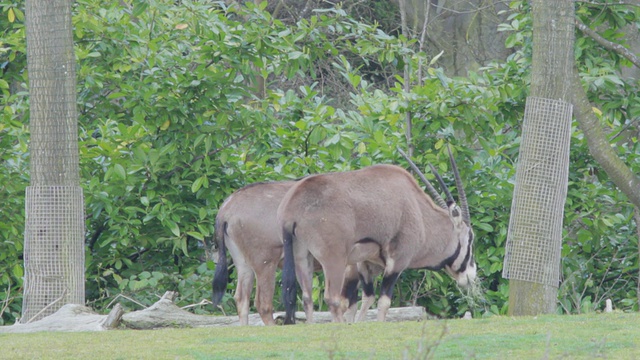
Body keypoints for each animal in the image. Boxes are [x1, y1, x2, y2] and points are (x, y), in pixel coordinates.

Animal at [278, 147, 478, 324]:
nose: (471, 276)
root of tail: (291, 208)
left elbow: (367, 298)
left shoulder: (365, 264)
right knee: (332, 298)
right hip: (333, 259)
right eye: (470, 238)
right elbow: (383, 302)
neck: (418, 210)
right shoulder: (396, 263)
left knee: (307, 298)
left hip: (302, 257)